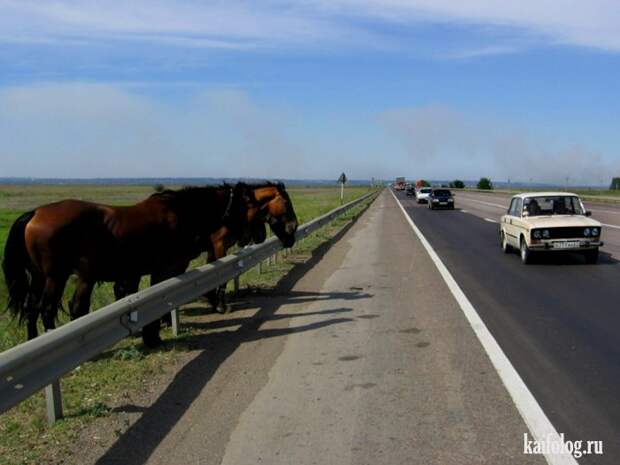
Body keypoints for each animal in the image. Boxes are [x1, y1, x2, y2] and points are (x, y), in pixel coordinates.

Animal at [2, 181, 260, 344]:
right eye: (245, 205)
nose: (248, 237)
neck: (180, 213)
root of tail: (34, 213)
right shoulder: (165, 268)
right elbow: (161, 298)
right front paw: (155, 332)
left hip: (39, 276)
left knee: (32, 308)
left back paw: (32, 340)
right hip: (57, 276)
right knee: (47, 309)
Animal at [112, 181, 300, 312]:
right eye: (285, 202)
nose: (294, 226)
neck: (232, 209)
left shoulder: (213, 248)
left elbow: (214, 273)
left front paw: (212, 299)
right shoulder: (219, 245)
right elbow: (222, 277)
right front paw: (220, 304)